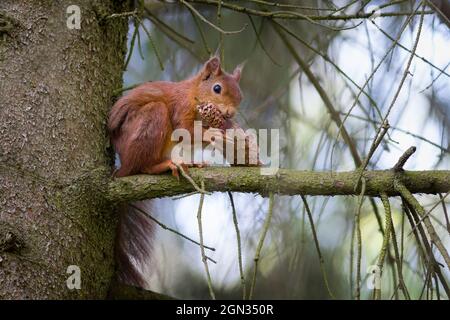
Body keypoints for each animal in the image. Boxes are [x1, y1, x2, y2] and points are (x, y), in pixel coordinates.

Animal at [107, 57, 244, 288]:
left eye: (240, 94)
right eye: (217, 88)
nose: (230, 114)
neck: (193, 93)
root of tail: (123, 166)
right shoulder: (181, 109)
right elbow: (187, 132)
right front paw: (213, 132)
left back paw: (190, 163)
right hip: (152, 119)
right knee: (142, 166)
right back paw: (163, 165)